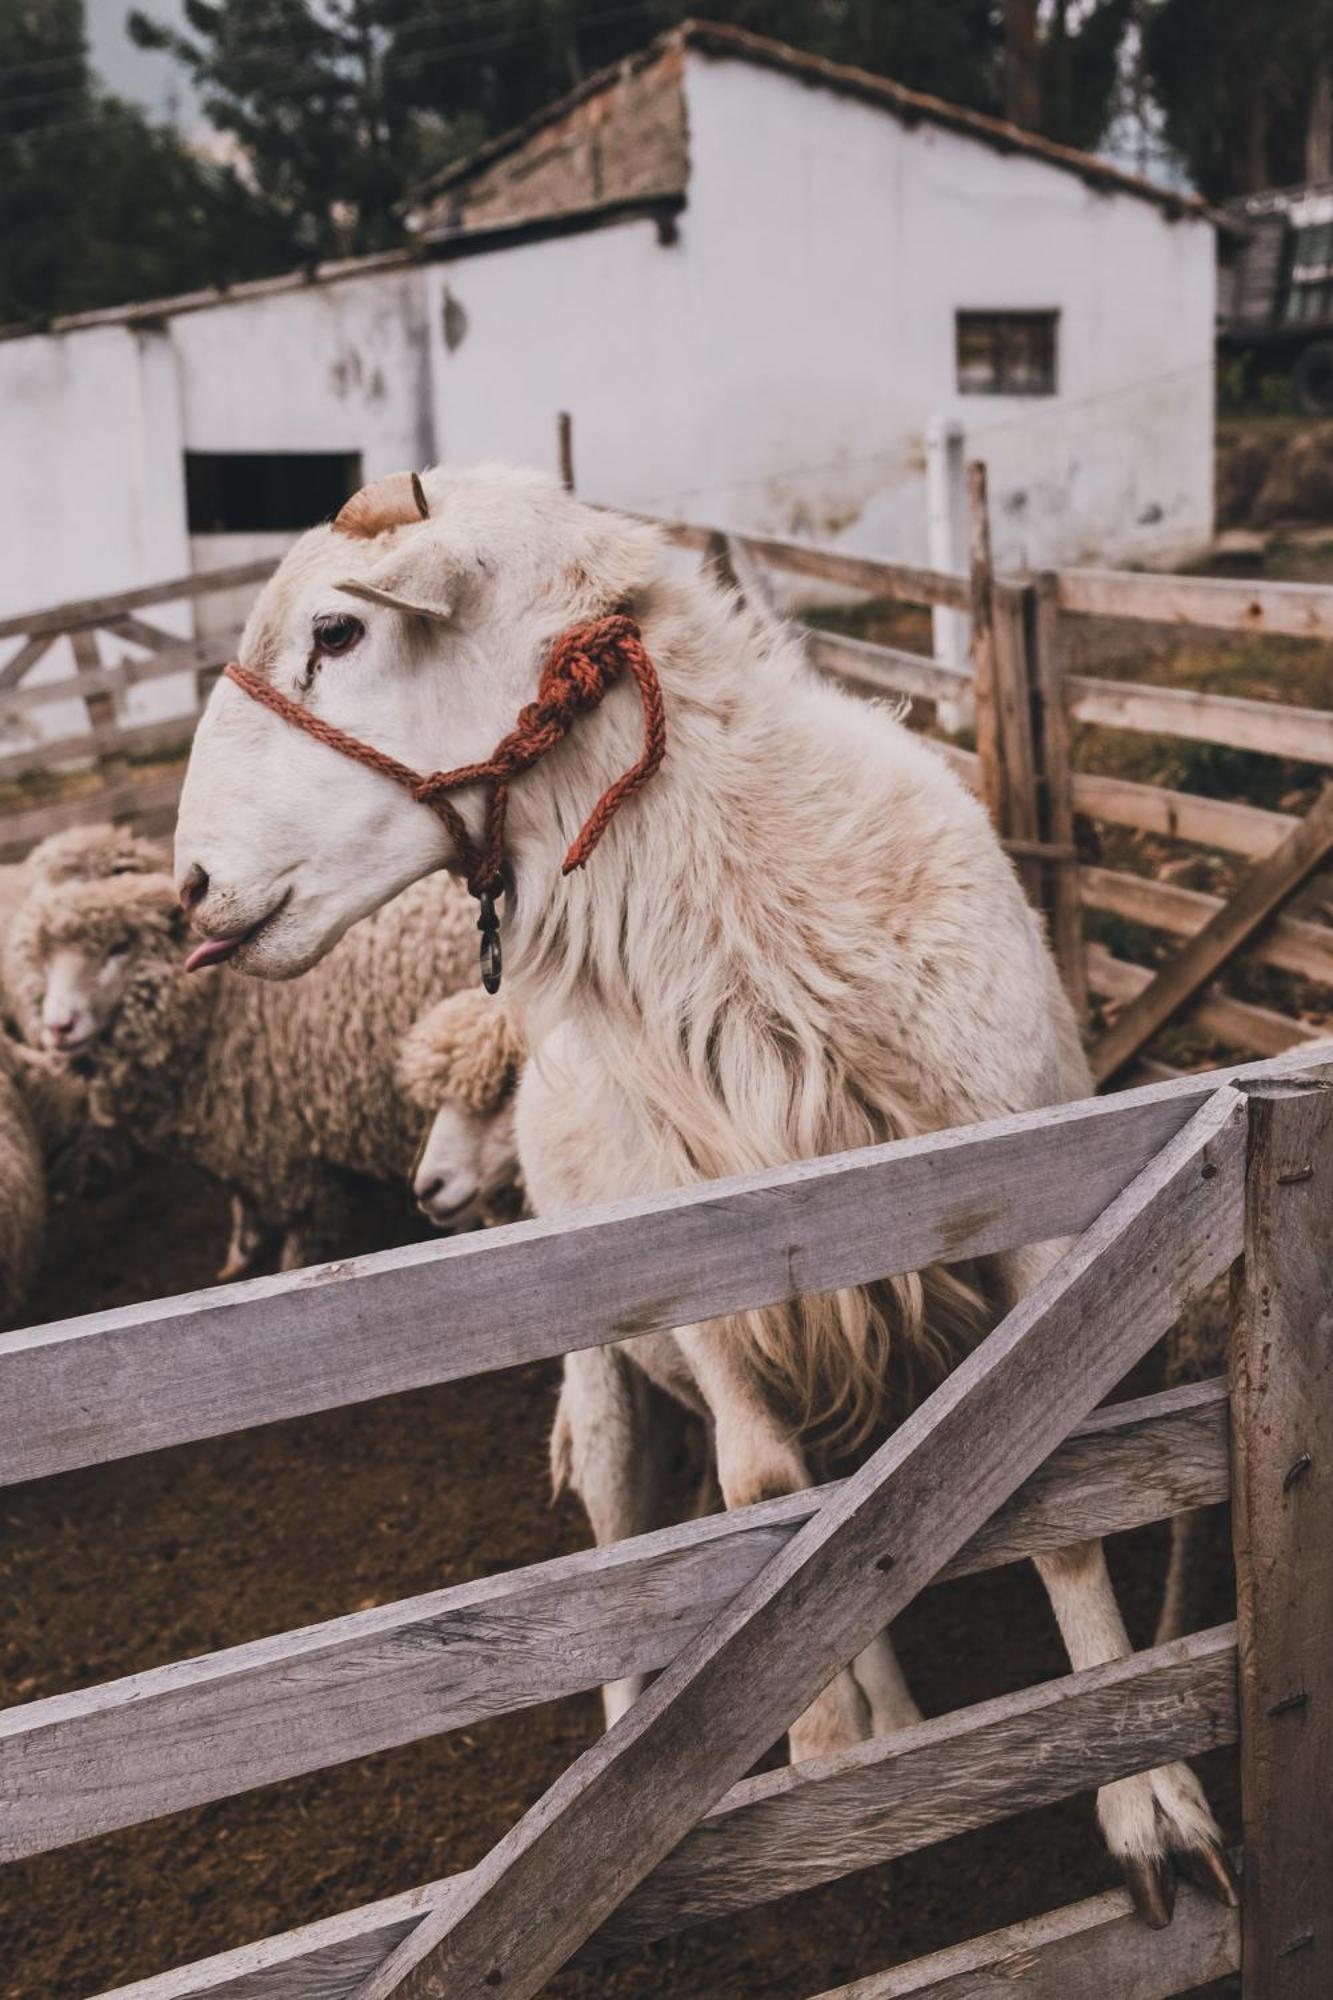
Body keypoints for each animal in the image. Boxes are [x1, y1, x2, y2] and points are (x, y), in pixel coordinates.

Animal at [171, 460, 1232, 1912]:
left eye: (339, 631)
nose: (188, 887)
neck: (752, 919)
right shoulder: (720, 1299)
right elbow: (758, 1508)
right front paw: (835, 1757)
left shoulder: (1039, 1228)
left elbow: (1059, 1518)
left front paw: (1150, 1798)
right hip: (613, 1382)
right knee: (645, 1552)